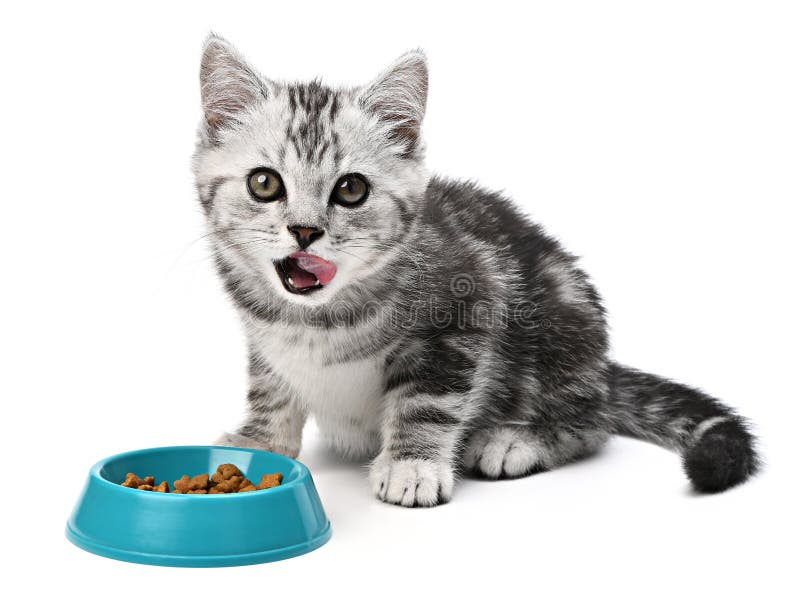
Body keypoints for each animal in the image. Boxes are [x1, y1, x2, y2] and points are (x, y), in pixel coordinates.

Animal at [192, 35, 756, 506]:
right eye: (265, 183)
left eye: (351, 189)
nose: (305, 231)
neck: (314, 318)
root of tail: (601, 368)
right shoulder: (265, 340)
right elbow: (270, 386)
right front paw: (261, 440)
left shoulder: (466, 307)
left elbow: (428, 400)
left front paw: (413, 464)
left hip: (562, 324)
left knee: (591, 419)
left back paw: (515, 440)